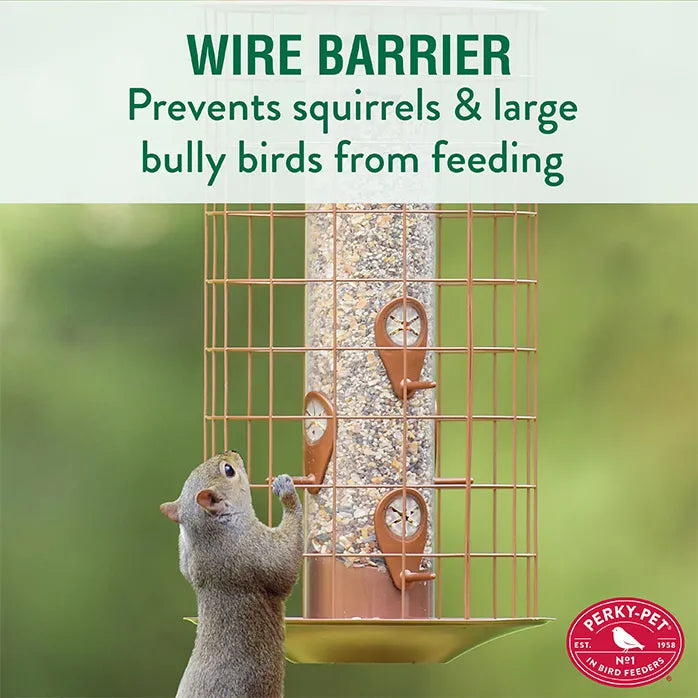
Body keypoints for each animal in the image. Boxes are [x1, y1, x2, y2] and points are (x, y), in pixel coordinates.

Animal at [160, 450, 303, 698]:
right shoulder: (253, 549)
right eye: (229, 470)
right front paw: (287, 492)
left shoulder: (189, 558)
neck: (211, 534)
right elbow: (286, 566)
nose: (232, 451)